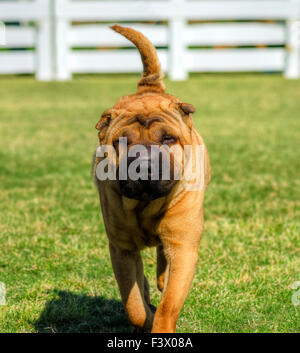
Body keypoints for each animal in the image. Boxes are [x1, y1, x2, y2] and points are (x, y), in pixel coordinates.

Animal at [92, 24, 210, 332]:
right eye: (121, 141)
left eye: (168, 138)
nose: (143, 164)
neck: (145, 206)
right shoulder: (121, 249)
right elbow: (133, 303)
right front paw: (145, 317)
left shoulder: (183, 245)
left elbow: (170, 304)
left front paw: (160, 323)